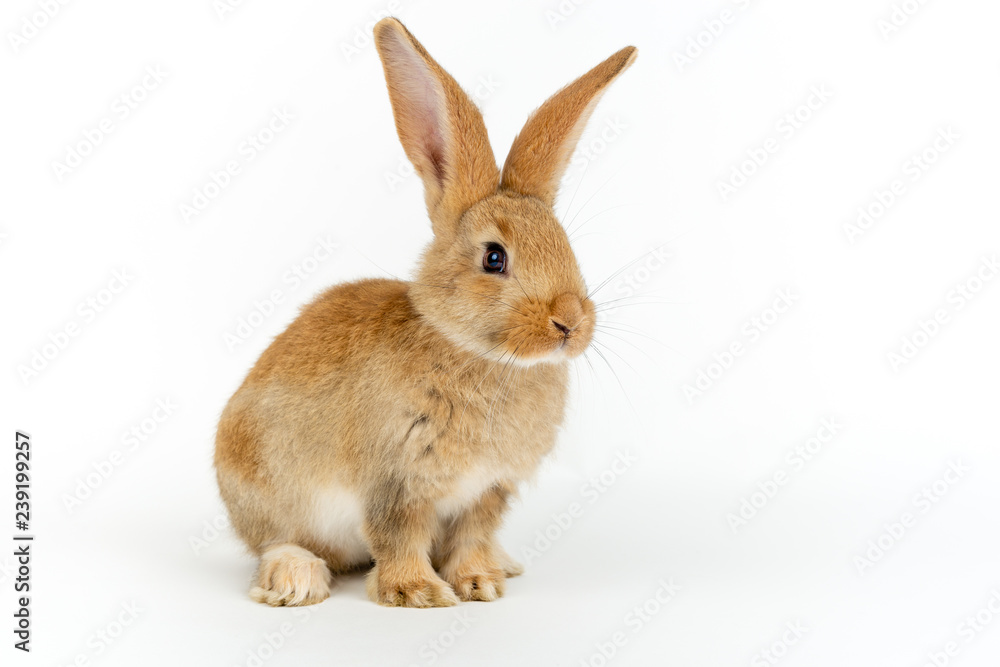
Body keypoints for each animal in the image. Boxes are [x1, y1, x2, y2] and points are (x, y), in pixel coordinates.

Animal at [214, 16, 636, 608]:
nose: (570, 324)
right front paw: (418, 593)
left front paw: (480, 583)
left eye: (566, 246)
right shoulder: (396, 482)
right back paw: (296, 579)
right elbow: (398, 535)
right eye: (494, 257)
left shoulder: (487, 489)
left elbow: (472, 536)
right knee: (276, 541)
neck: (476, 353)